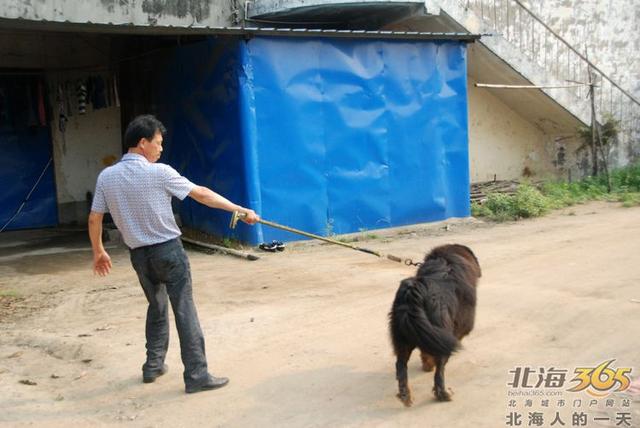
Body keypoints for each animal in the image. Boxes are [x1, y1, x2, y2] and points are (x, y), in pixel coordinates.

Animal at [384, 242, 480, 406]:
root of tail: (414, 291)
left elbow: (425, 351)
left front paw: (426, 365)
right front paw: (429, 365)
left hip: (403, 336)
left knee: (401, 366)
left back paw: (405, 395)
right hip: (441, 330)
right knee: (440, 370)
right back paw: (443, 394)